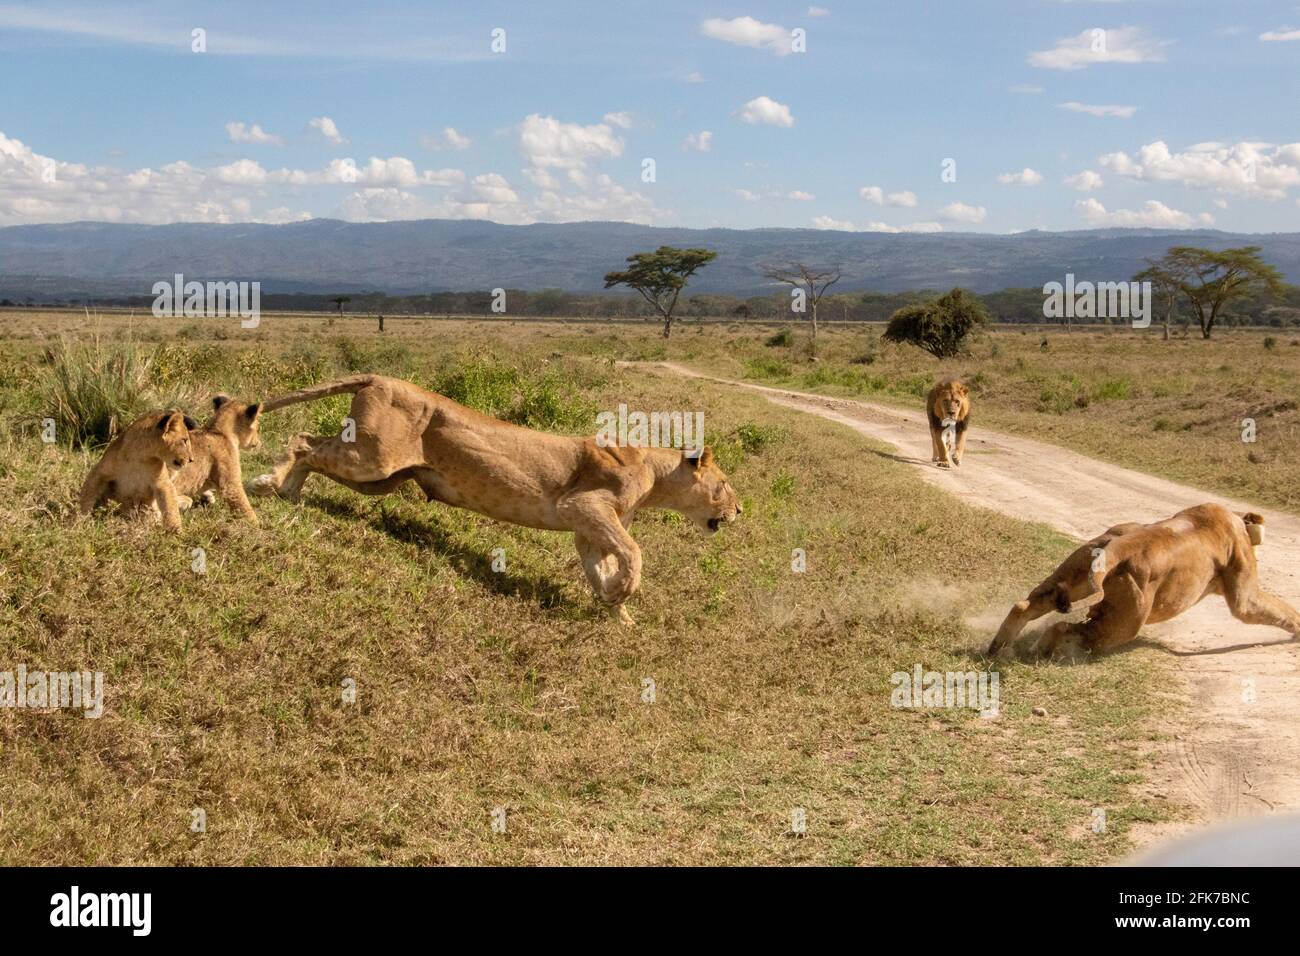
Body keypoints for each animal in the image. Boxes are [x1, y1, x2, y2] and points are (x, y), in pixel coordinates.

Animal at [171, 394, 263, 524]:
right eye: (257, 428)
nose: (259, 442)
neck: (218, 431)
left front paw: (207, 498)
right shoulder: (230, 484)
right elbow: (244, 506)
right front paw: (257, 524)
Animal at [249, 374, 742, 623]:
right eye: (724, 484)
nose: (740, 509)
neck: (656, 473)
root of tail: (381, 376)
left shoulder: (586, 529)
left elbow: (600, 567)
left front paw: (616, 611)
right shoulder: (583, 506)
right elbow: (634, 552)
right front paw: (624, 596)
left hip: (381, 476)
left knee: (311, 445)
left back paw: (288, 491)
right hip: (372, 459)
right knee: (301, 441)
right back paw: (270, 485)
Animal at [987, 503, 1300, 660]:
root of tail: (1119, 547)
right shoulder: (1244, 594)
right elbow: (1275, 609)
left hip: (1068, 578)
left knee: (1024, 606)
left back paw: (998, 649)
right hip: (1123, 625)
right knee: (1065, 627)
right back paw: (1041, 650)